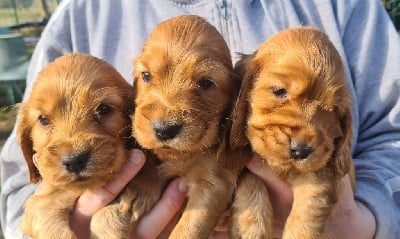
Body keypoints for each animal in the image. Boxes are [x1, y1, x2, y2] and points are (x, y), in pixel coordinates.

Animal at [17, 52, 161, 239]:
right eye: (43, 119)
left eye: (104, 109)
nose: (74, 161)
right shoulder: (39, 202)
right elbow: (49, 221)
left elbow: (107, 218)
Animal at [131, 15, 247, 239]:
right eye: (146, 76)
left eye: (206, 83)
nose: (164, 130)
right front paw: (137, 188)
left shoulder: (214, 183)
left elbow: (188, 229)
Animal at [228, 27, 356, 239]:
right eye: (279, 91)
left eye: (334, 110)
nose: (300, 150)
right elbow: (250, 181)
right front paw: (251, 228)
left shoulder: (323, 170)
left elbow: (310, 204)